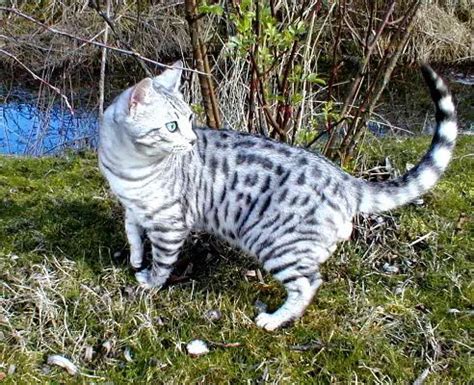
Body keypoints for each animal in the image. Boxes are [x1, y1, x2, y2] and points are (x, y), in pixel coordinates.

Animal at [99, 62, 456, 330]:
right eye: (172, 126)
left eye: (188, 120)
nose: (191, 141)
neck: (128, 166)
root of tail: (343, 178)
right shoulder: (132, 208)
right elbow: (132, 233)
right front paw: (135, 259)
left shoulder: (169, 223)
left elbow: (162, 261)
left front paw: (149, 282)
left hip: (274, 242)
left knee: (308, 283)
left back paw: (274, 319)